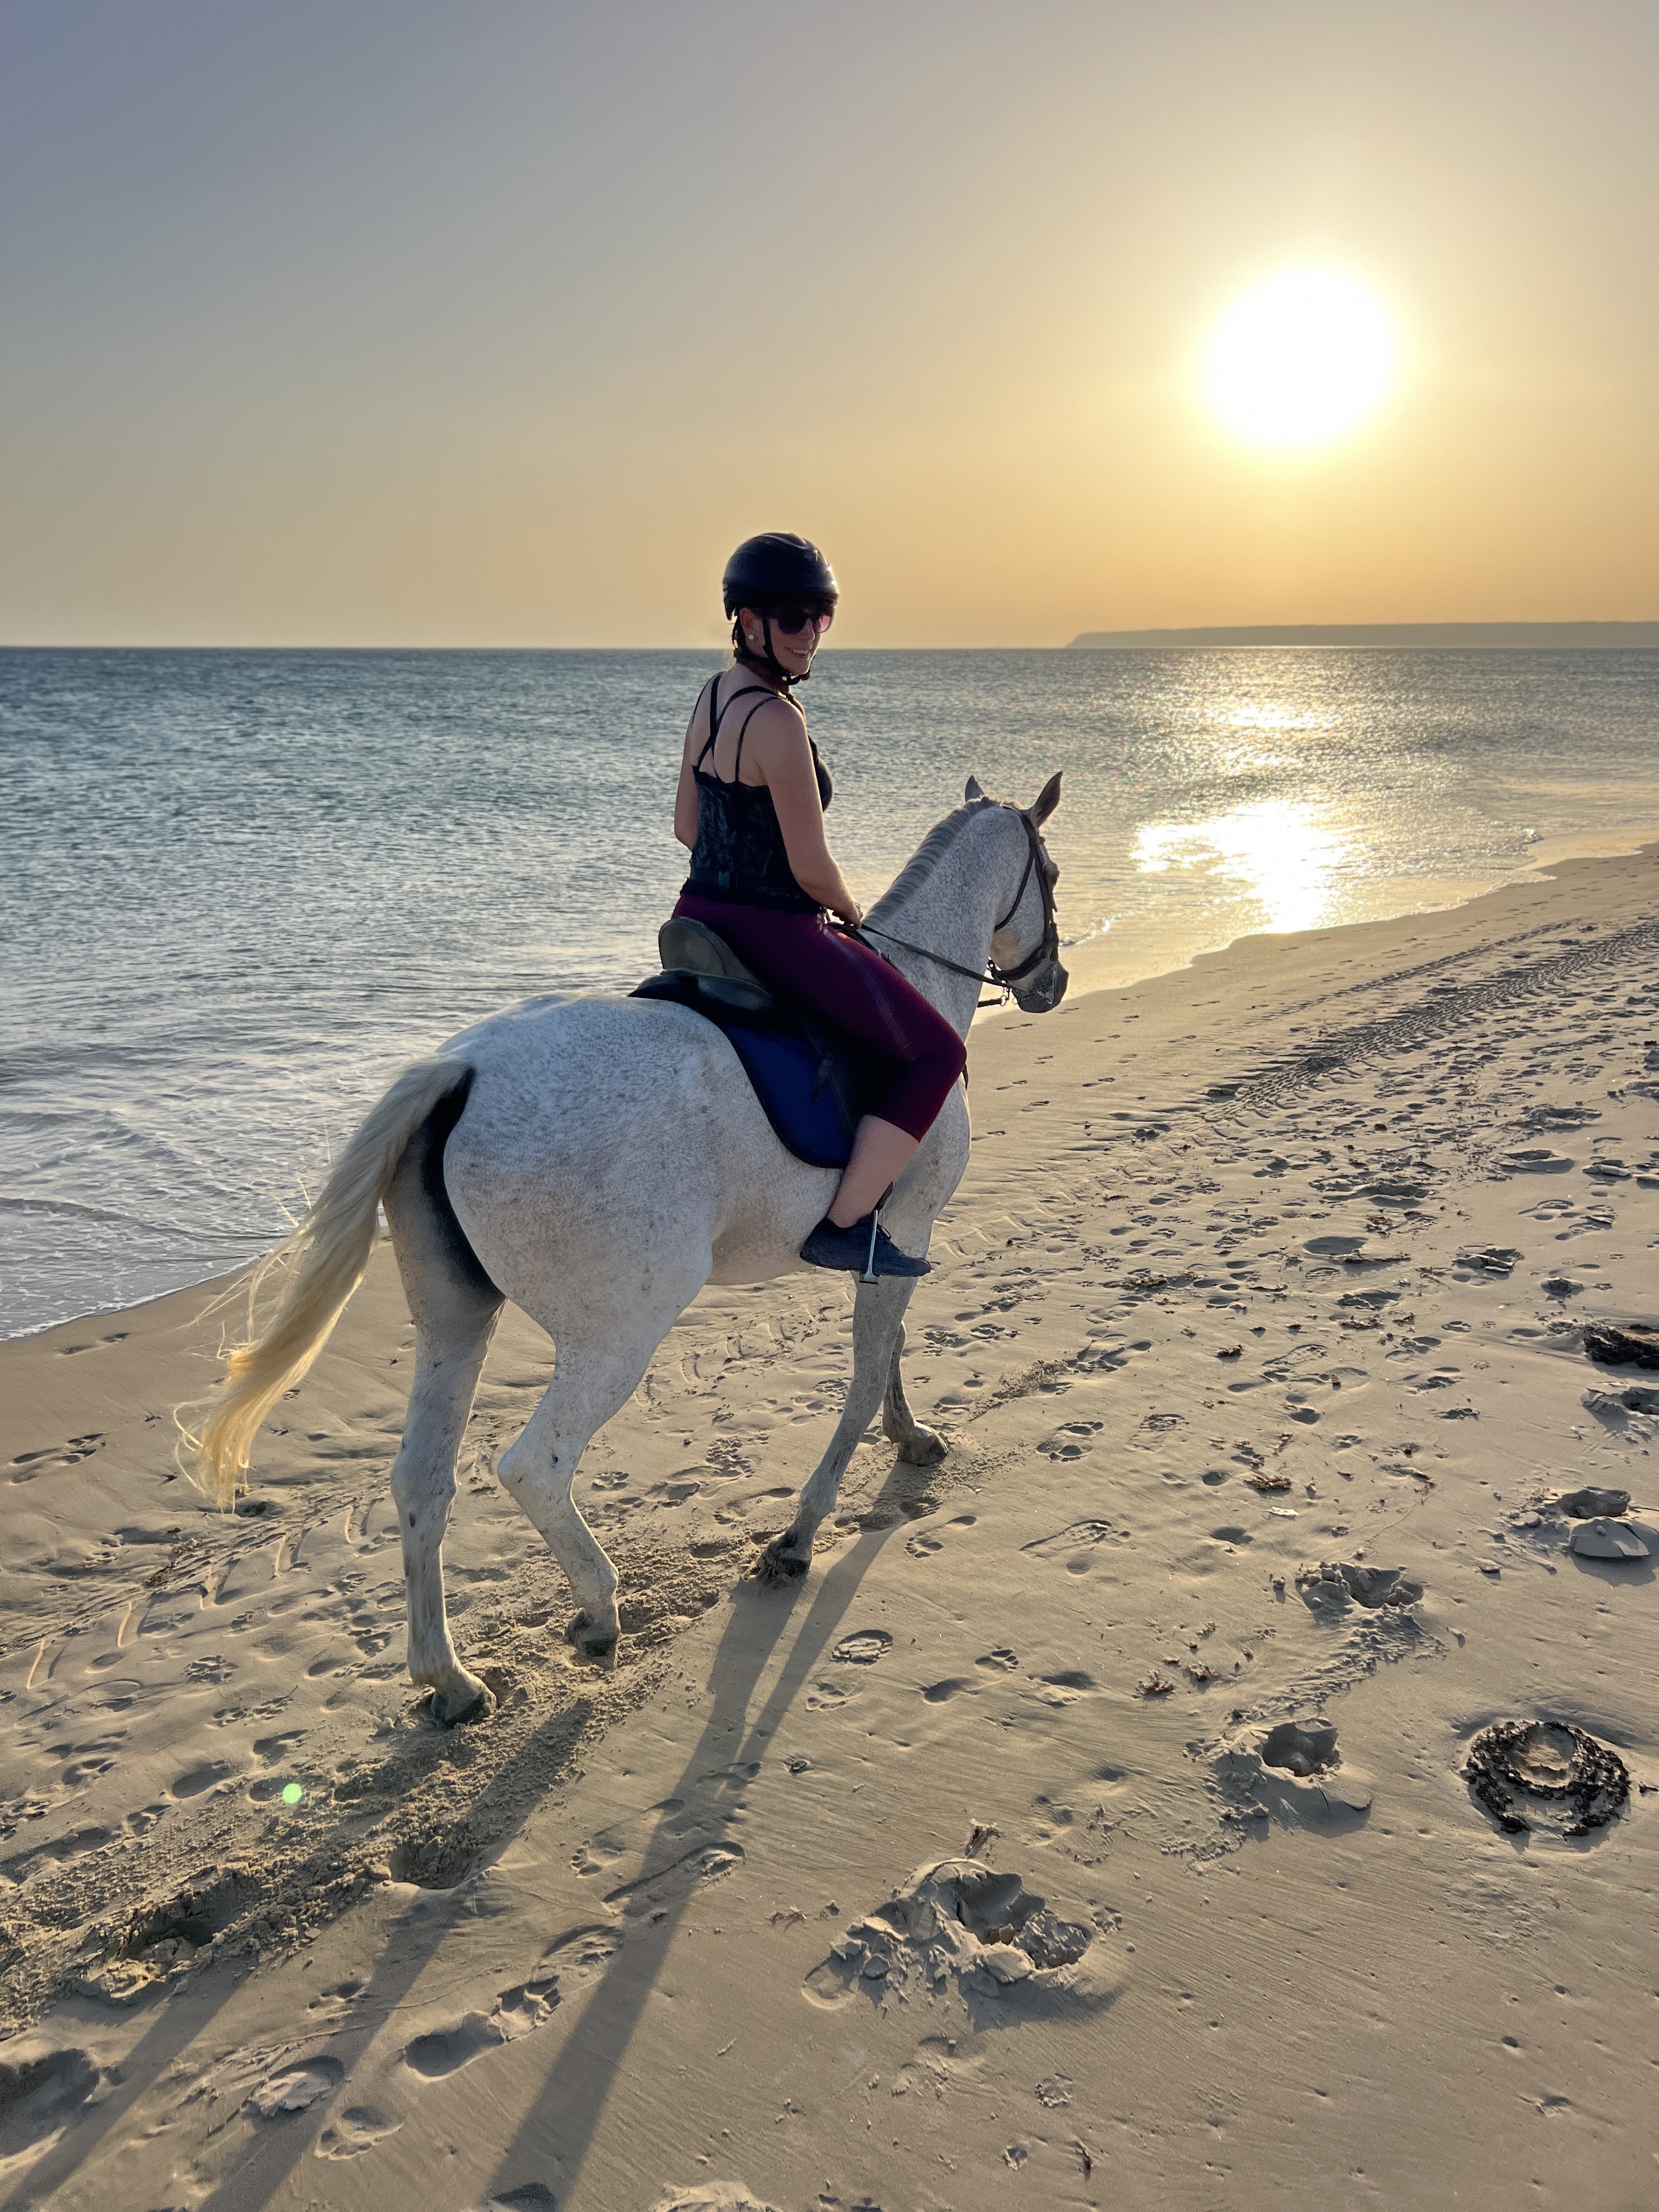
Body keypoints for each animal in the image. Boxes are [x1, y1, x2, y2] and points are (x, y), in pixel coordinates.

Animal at [185, 774, 1067, 1723]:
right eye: (1052, 874)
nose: (1054, 981)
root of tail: (463, 1073)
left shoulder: (892, 1244)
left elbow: (889, 1351)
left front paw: (911, 1436)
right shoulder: (909, 1228)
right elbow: (868, 1375)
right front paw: (801, 1534)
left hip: (454, 1322)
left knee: (422, 1479)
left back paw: (450, 1680)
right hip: (618, 1334)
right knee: (534, 1468)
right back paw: (599, 1611)